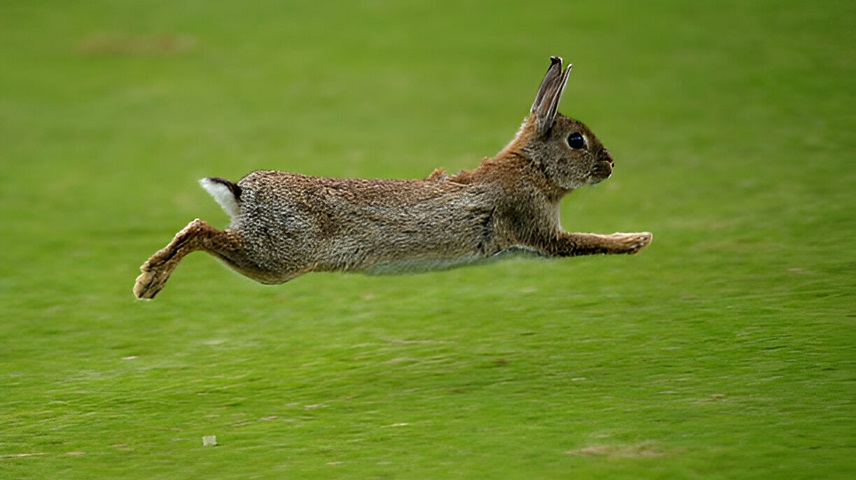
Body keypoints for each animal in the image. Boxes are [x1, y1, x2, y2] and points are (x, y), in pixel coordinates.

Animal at [135, 54, 656, 298]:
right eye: (576, 141)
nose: (610, 165)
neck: (532, 167)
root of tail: (244, 193)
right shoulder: (537, 229)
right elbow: (586, 243)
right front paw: (637, 241)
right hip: (277, 259)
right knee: (202, 232)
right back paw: (148, 282)